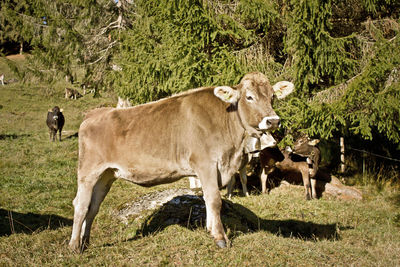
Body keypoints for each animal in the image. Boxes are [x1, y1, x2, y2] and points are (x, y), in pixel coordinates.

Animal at [68, 72, 294, 252]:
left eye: (272, 97)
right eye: (249, 96)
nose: (273, 120)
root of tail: (95, 113)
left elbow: (207, 199)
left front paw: (210, 229)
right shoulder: (205, 164)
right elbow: (214, 199)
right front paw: (220, 238)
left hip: (106, 175)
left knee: (93, 206)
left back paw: (85, 242)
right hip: (88, 172)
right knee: (81, 204)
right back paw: (74, 246)